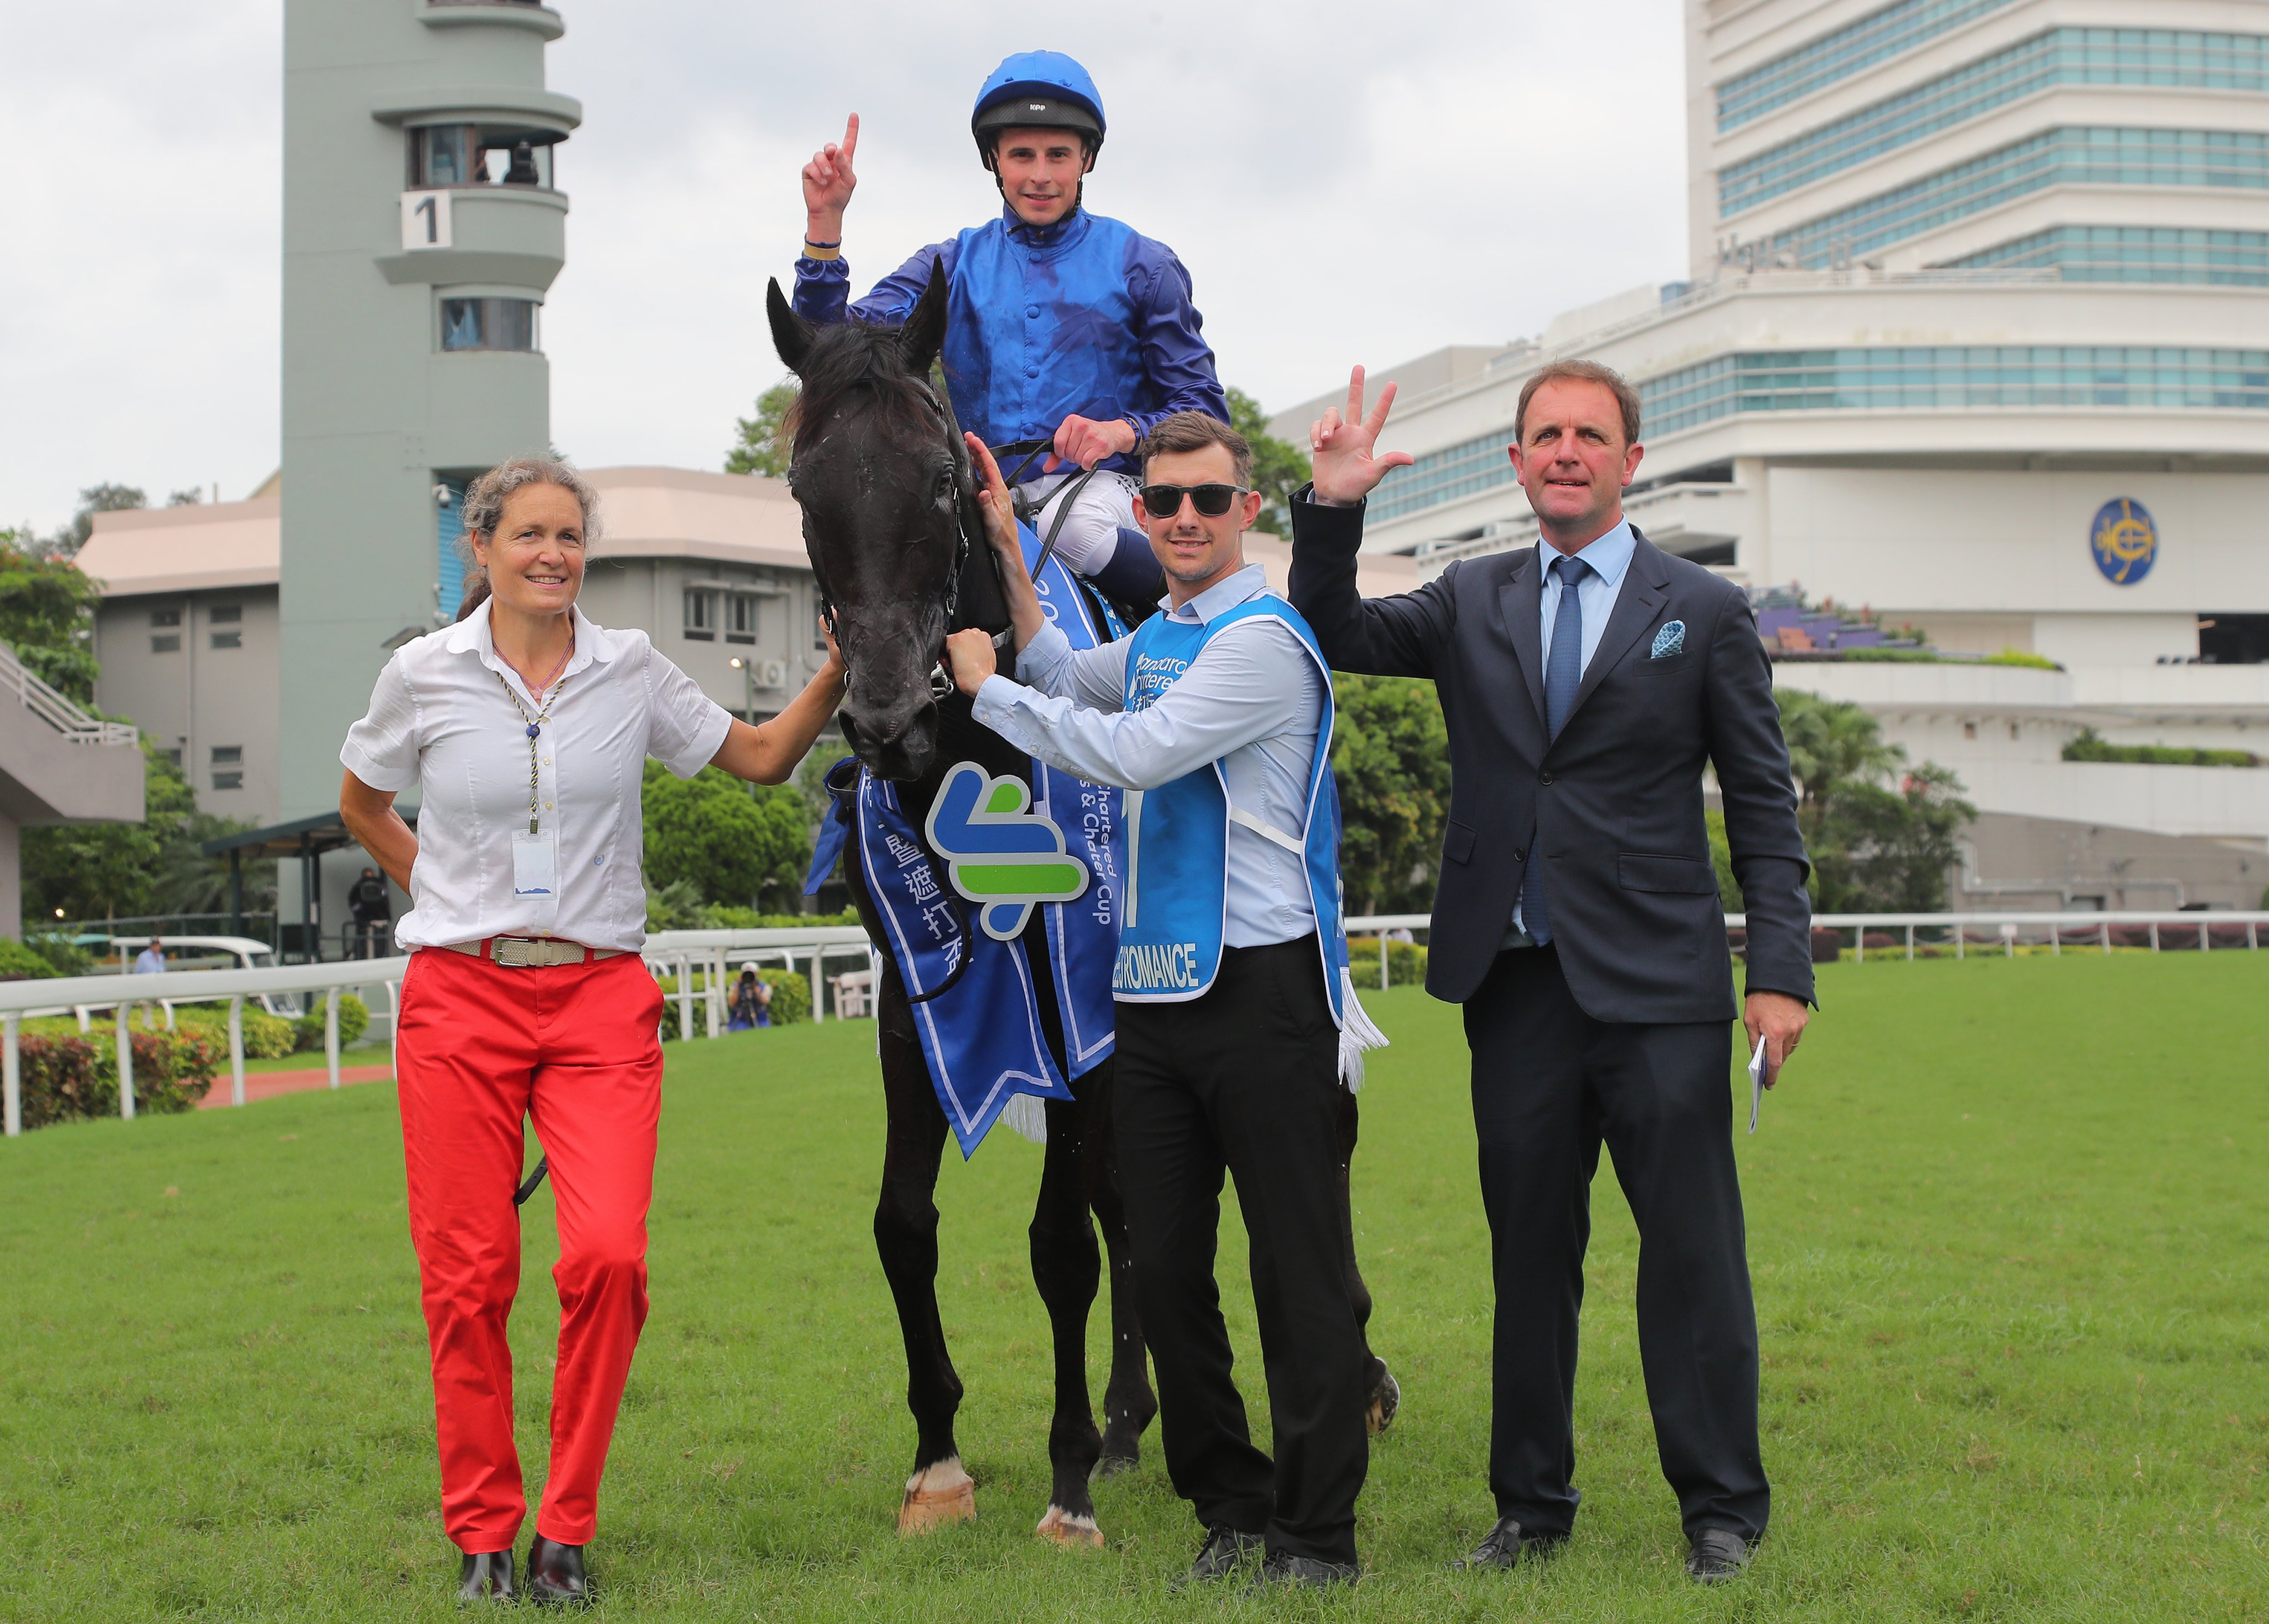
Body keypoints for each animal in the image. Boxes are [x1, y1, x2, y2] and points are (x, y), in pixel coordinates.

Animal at [771, 266, 1388, 1551]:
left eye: (940, 476)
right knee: (1134, 1202)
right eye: (806, 486)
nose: (884, 713)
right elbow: (905, 1224)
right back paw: (1125, 1419)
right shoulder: (916, 997)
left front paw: (1062, 1484)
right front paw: (940, 1461)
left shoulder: (1076, 997)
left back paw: (1353, 1375)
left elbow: (1058, 1242)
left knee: (1316, 1133)